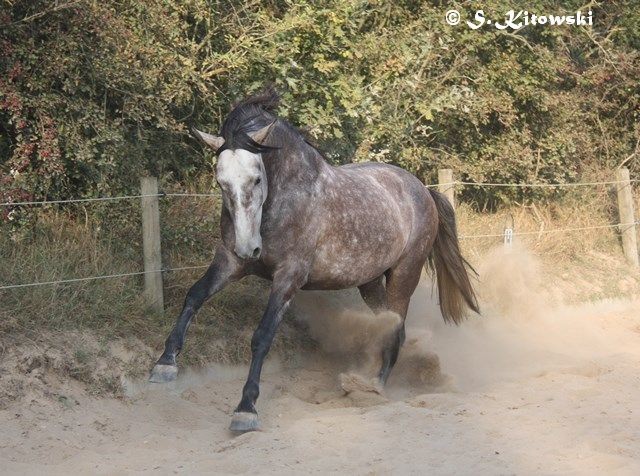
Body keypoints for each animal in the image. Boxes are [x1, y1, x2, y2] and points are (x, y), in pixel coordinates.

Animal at [151, 88, 480, 432]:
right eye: (220, 181)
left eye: (257, 179)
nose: (248, 248)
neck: (283, 200)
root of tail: (424, 189)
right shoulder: (230, 262)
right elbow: (194, 296)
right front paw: (164, 365)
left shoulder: (289, 276)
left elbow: (262, 336)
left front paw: (246, 409)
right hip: (369, 282)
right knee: (389, 327)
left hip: (405, 275)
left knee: (396, 329)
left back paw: (374, 387)